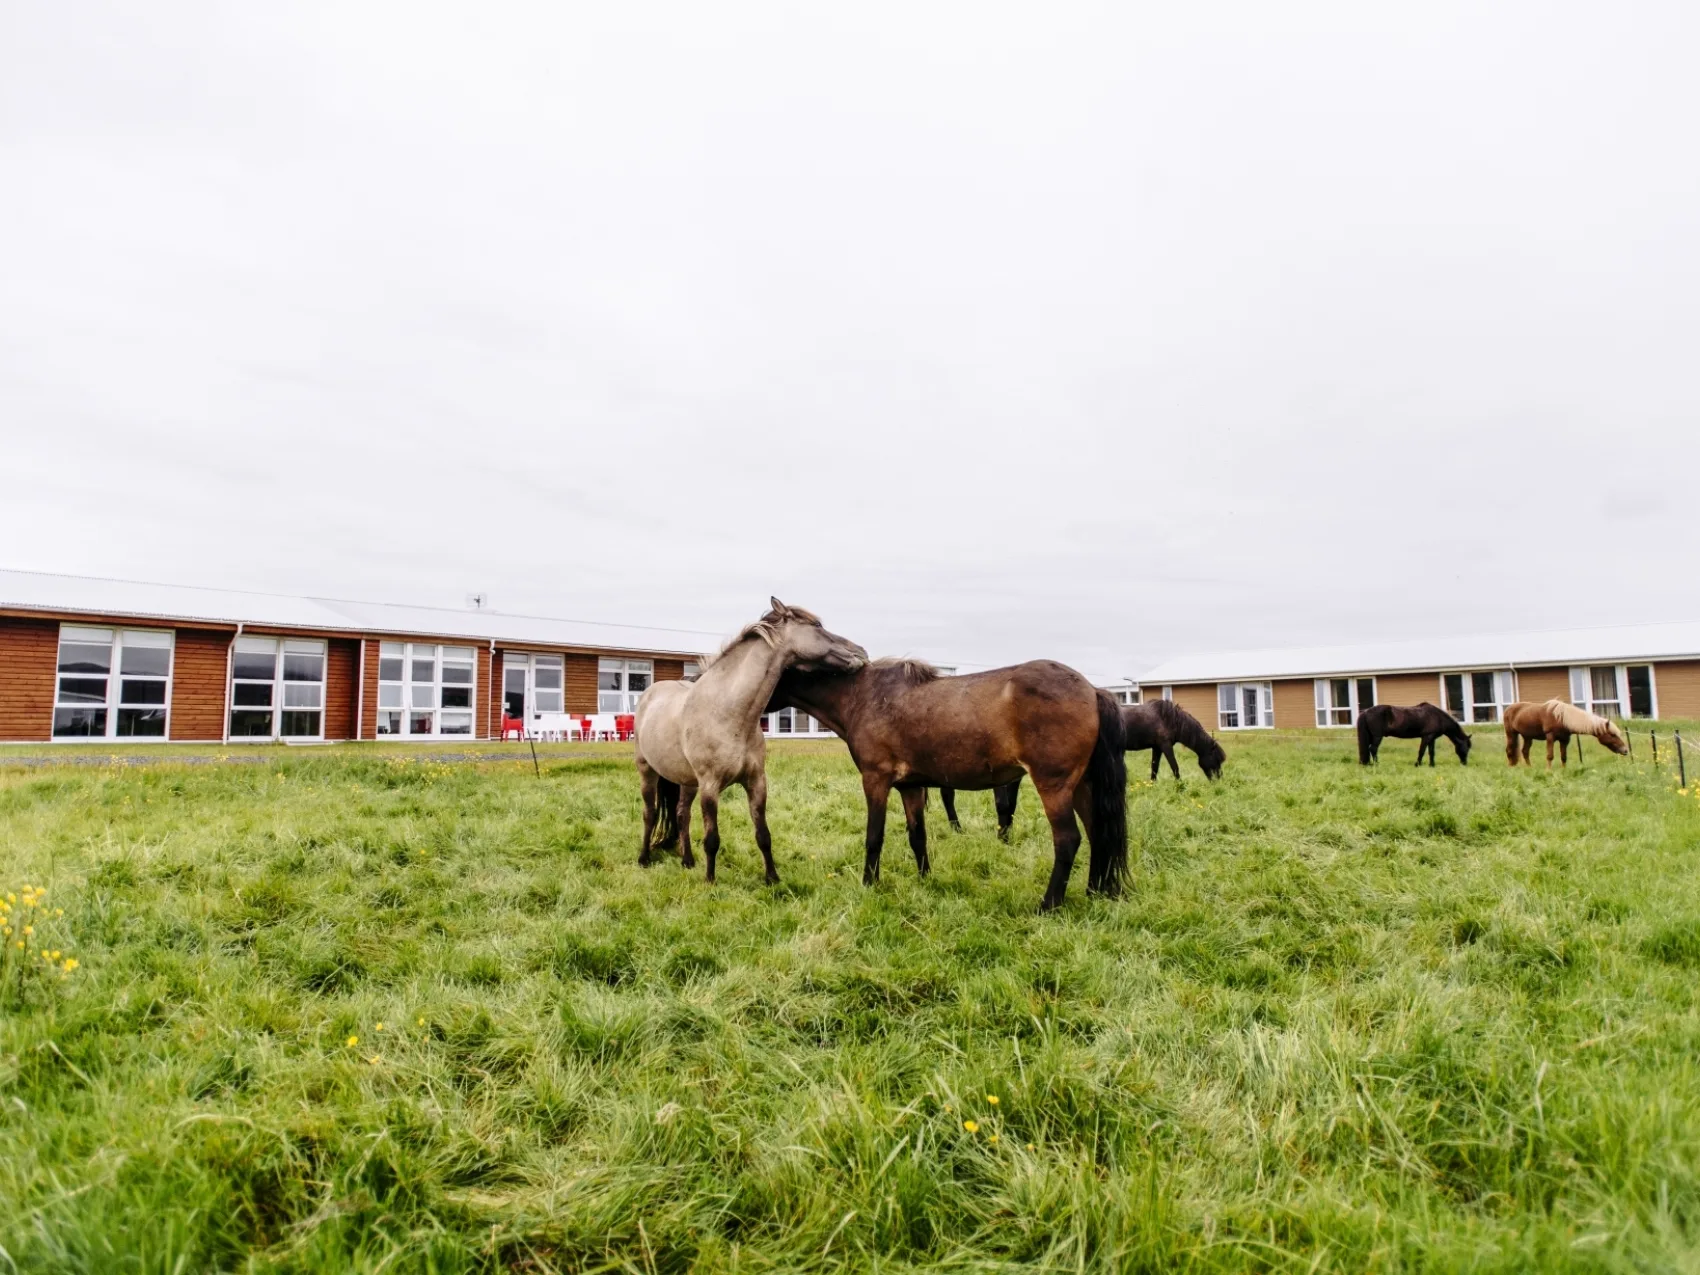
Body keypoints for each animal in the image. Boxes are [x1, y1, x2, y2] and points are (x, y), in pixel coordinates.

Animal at [639, 601, 877, 884]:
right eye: (817, 625)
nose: (861, 652)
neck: (728, 713)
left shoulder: (756, 782)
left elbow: (763, 834)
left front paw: (772, 878)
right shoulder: (710, 786)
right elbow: (712, 839)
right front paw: (710, 881)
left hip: (687, 781)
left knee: (681, 814)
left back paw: (687, 860)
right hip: (647, 770)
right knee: (650, 813)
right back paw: (643, 858)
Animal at [771, 659, 1128, 918]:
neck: (863, 695)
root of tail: (1093, 690)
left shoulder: (875, 780)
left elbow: (874, 838)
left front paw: (869, 884)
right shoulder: (910, 787)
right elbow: (918, 837)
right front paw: (925, 880)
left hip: (1054, 786)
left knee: (1068, 840)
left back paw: (1049, 905)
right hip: (1082, 785)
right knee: (1097, 834)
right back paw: (1095, 891)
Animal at [938, 703, 1230, 843]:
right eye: (1215, 760)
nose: (1217, 782)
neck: (1166, 716)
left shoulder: (1157, 747)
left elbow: (1155, 768)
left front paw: (1155, 785)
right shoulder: (1166, 745)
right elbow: (1174, 766)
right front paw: (1178, 785)